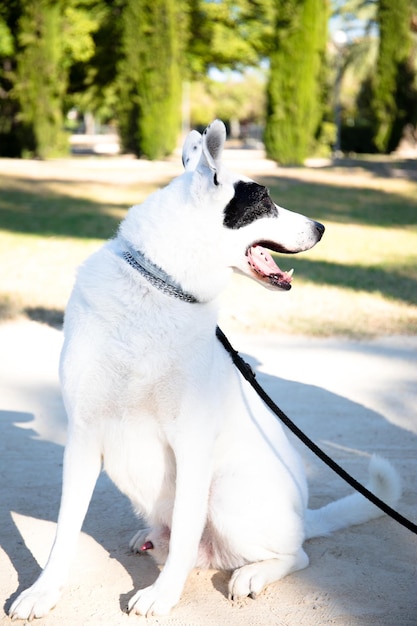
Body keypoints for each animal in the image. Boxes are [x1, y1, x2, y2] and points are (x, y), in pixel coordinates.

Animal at [9, 119, 400, 616]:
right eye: (264, 200)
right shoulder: (81, 437)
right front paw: (42, 592)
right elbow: (64, 532)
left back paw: (252, 574)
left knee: (296, 553)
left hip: (229, 497)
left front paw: (162, 596)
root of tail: (303, 518)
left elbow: (185, 530)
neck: (158, 288)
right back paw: (151, 538)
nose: (322, 227)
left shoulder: (191, 444)